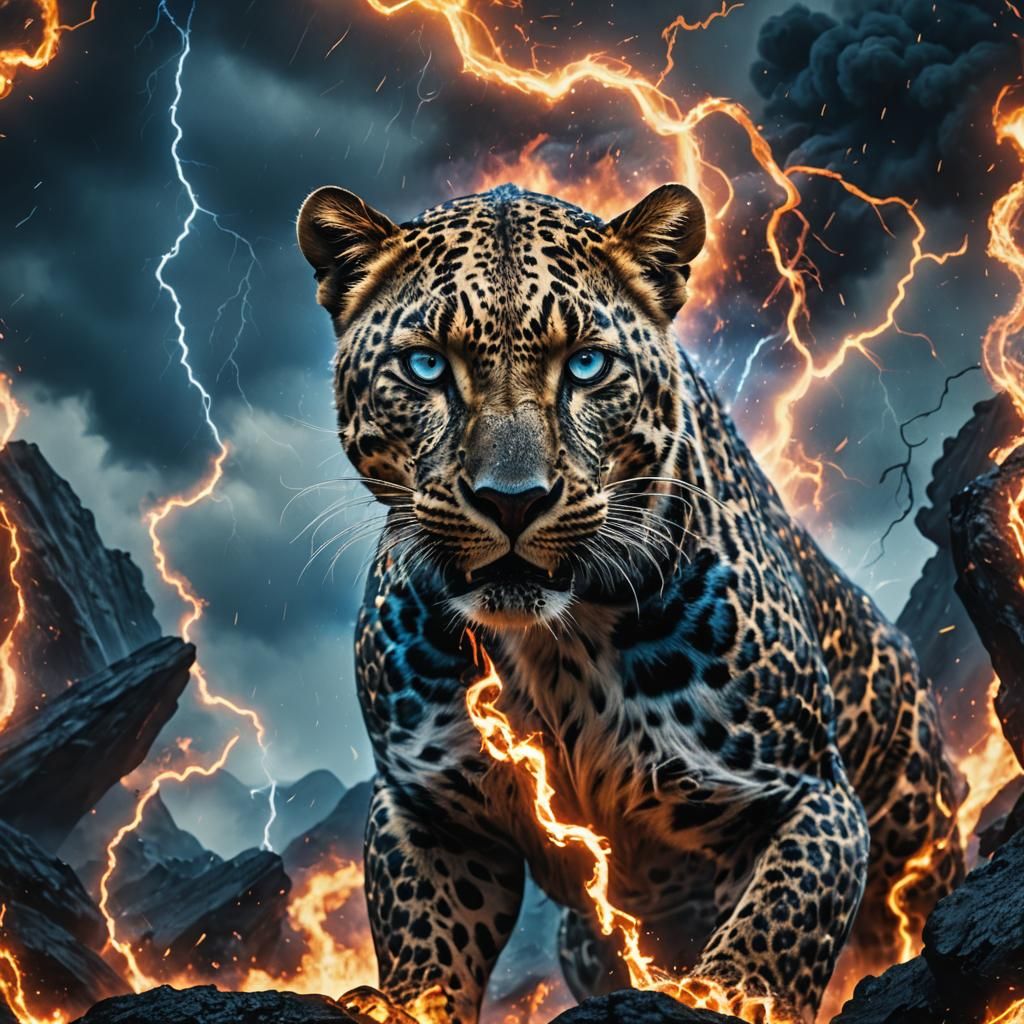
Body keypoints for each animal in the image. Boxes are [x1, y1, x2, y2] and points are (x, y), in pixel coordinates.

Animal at [295, 180, 963, 1023]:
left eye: (586, 365)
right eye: (425, 366)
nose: (512, 500)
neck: (552, 647)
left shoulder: (811, 794)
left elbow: (785, 913)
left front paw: (727, 993)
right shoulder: (426, 803)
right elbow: (423, 929)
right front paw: (403, 1002)